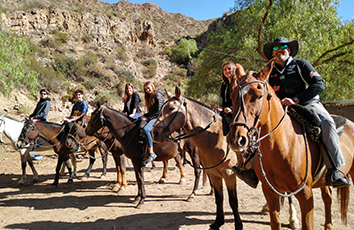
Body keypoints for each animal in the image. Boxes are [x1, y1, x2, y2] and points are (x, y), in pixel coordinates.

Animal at [151, 86, 242, 230]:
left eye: (171, 108)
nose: (154, 133)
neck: (217, 137)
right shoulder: (214, 173)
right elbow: (219, 198)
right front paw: (218, 222)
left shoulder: (229, 174)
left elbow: (233, 201)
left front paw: (238, 225)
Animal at [228, 60, 352, 229]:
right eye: (232, 96)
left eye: (259, 96)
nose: (236, 139)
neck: (283, 146)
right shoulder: (270, 193)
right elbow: (275, 222)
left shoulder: (306, 195)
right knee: (327, 197)